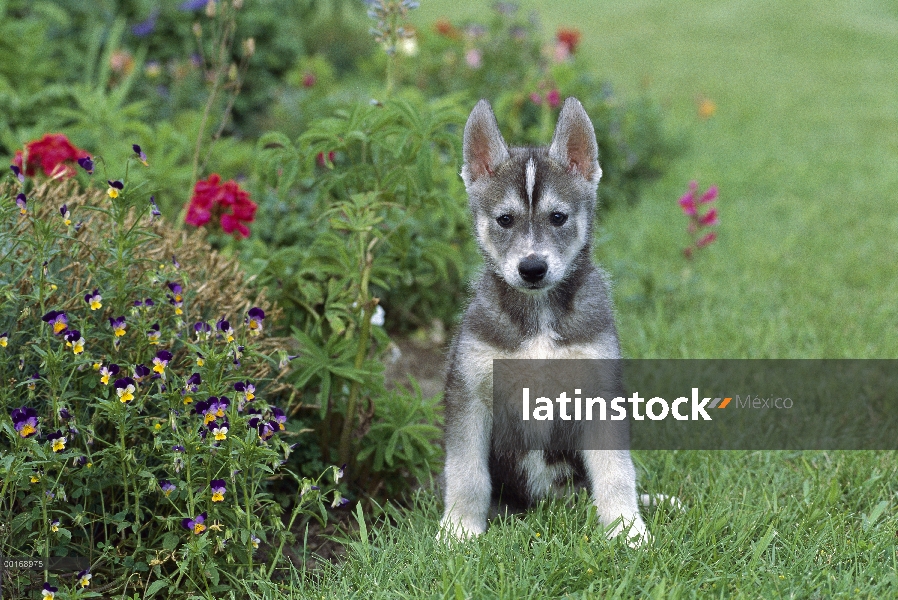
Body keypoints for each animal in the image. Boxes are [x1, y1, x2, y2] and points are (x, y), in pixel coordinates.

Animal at [438, 99, 648, 548]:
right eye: (504, 219)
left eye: (558, 217)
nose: (532, 268)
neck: (537, 319)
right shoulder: (469, 393)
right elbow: (466, 472)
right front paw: (460, 529)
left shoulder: (601, 392)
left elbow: (616, 471)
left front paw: (627, 529)